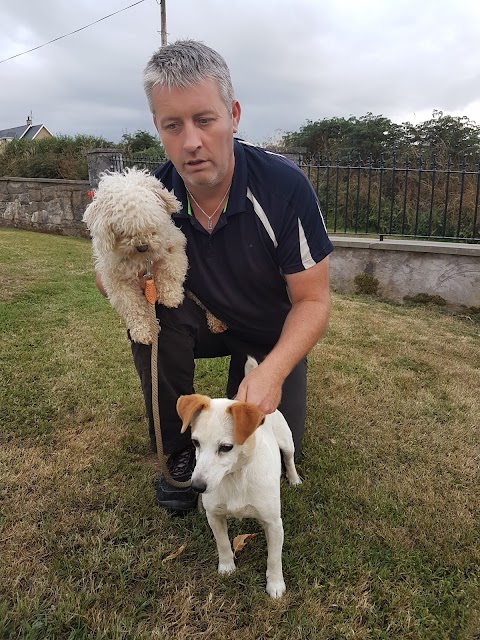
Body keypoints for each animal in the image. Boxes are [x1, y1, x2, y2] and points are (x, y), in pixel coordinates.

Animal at [82, 166, 188, 344]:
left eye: (150, 221)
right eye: (123, 230)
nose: (143, 246)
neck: (141, 260)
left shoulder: (174, 247)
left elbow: (170, 271)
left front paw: (171, 297)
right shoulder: (117, 280)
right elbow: (132, 307)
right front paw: (144, 331)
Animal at [178, 358, 302, 596]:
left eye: (226, 447)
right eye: (195, 443)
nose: (197, 486)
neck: (235, 477)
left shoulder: (274, 523)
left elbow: (274, 558)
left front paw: (275, 584)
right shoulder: (215, 516)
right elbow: (223, 544)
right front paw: (227, 567)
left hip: (287, 441)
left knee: (289, 458)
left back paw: (294, 479)